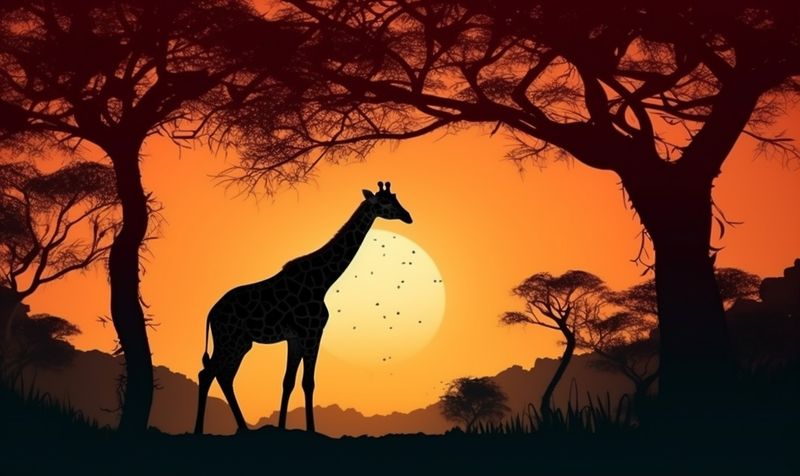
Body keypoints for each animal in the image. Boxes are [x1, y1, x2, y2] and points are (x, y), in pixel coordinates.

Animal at [194, 181, 413, 434]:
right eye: (385, 202)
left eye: (396, 198)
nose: (408, 217)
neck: (323, 281)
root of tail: (211, 313)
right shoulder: (312, 332)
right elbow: (308, 382)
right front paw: (310, 429)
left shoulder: (295, 337)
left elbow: (288, 381)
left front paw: (281, 428)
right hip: (229, 340)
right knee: (208, 373)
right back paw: (200, 430)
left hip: (240, 343)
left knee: (224, 376)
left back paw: (243, 428)